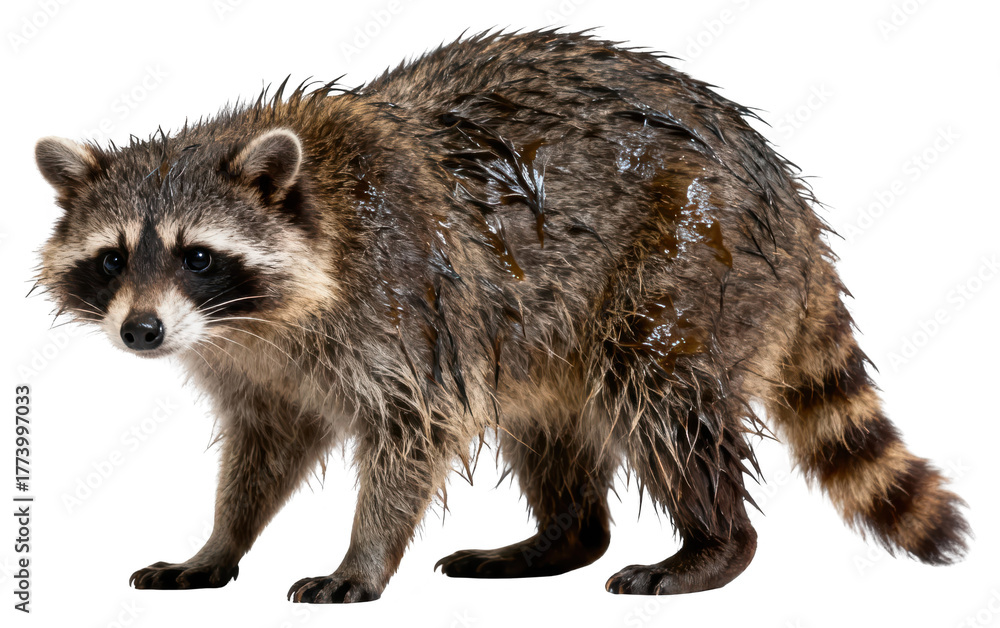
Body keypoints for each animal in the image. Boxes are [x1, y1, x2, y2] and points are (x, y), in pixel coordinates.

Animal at [34, 30, 969, 602]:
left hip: (690, 264)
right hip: (549, 330)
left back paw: (714, 541)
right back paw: (562, 536)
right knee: (552, 423)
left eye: (196, 256)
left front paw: (364, 553)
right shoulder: (259, 367)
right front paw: (221, 542)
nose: (141, 332)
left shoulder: (403, 306)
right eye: (112, 258)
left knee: (660, 392)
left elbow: (414, 432)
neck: (258, 319)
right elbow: (265, 448)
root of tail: (788, 201)